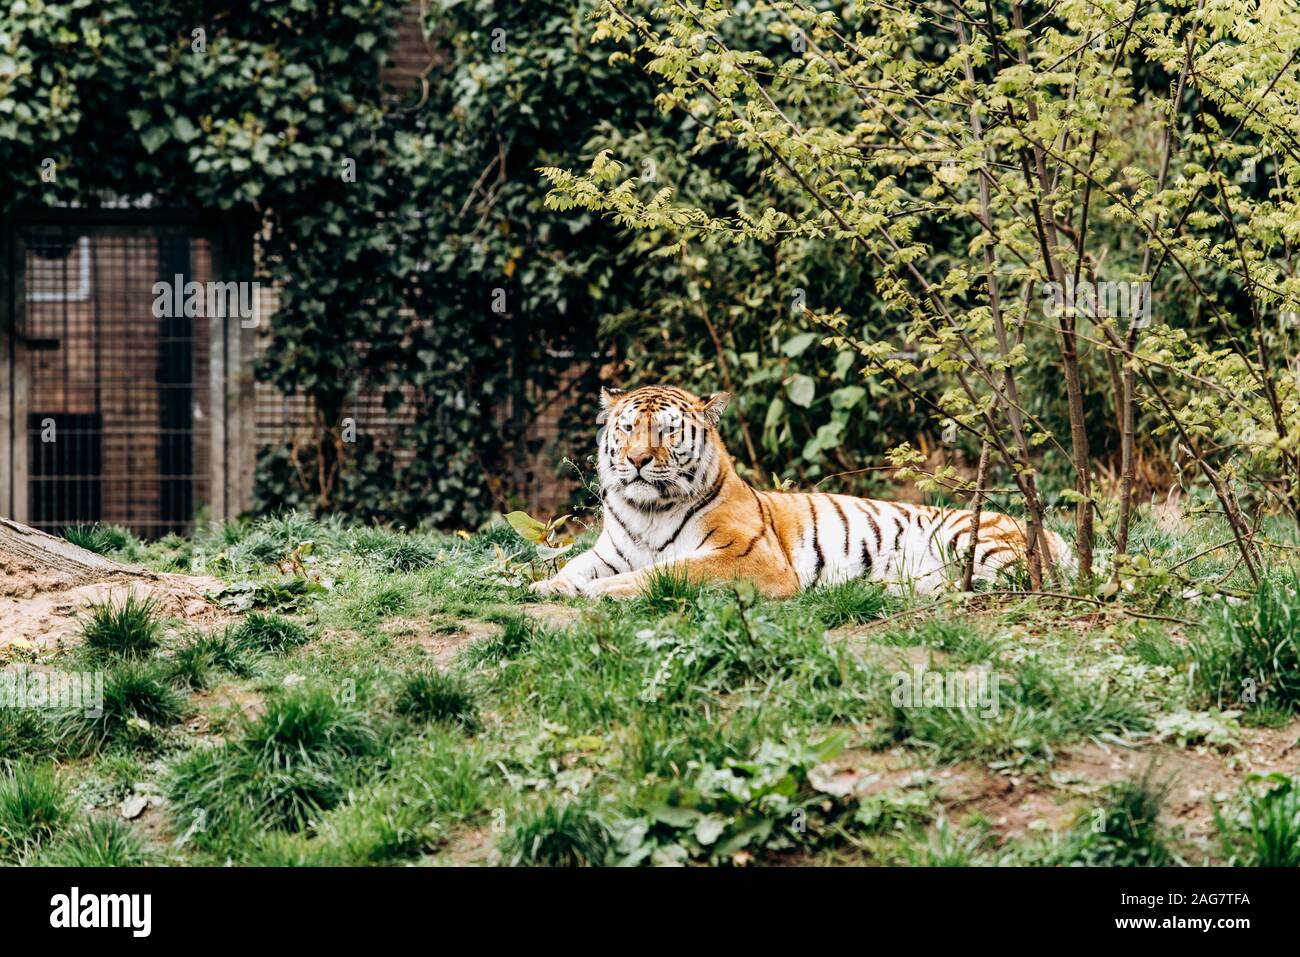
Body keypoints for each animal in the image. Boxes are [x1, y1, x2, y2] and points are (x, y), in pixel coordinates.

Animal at [530, 382, 1076, 598]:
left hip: (973, 541)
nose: (638, 460)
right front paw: (545, 587)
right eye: (626, 429)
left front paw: (600, 592)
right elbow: (573, 565)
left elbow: (666, 572)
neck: (647, 510)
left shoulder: (746, 557)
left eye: (666, 432)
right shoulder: (610, 551)